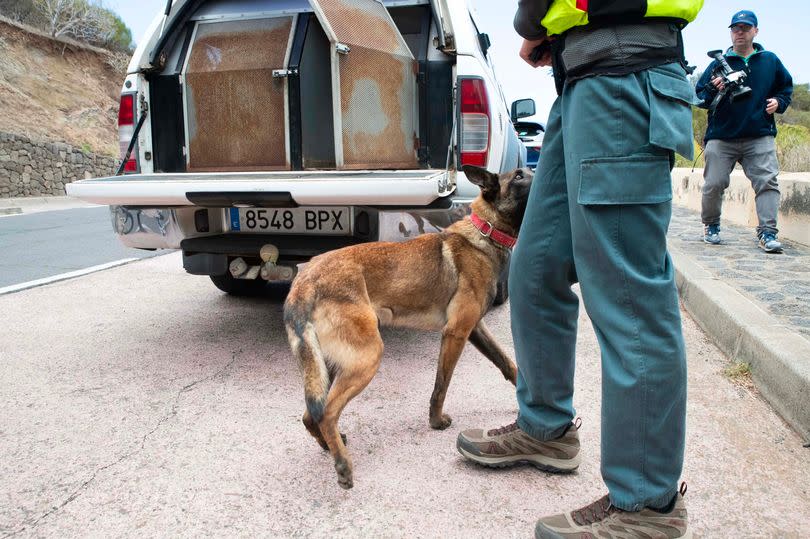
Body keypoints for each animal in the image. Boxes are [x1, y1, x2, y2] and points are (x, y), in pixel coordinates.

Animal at [282, 165, 532, 490]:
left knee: (310, 414)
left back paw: (329, 444)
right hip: (367, 357)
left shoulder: (475, 329)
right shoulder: (456, 332)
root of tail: (305, 280)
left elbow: (507, 363)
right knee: (326, 413)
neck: (485, 231)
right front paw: (436, 422)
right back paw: (342, 465)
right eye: (519, 176)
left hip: (331, 364)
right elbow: (441, 385)